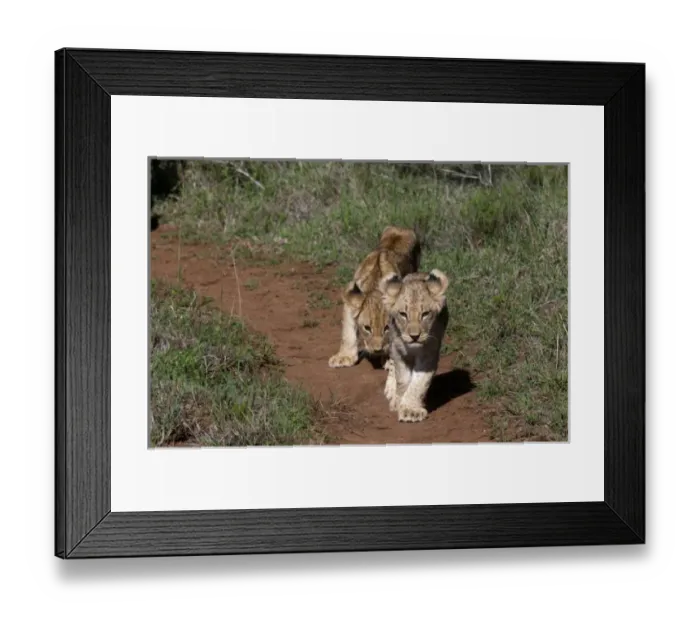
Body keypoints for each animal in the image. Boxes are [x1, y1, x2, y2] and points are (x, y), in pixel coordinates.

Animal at [328, 226, 421, 368]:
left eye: (387, 328)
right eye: (367, 328)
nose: (378, 350)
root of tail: (400, 229)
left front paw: (391, 361)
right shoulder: (350, 298)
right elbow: (348, 333)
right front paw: (344, 357)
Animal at [379, 269, 450, 423]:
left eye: (425, 314)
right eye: (403, 314)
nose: (414, 336)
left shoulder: (429, 354)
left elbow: (418, 383)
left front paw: (411, 410)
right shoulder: (399, 351)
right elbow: (403, 379)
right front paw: (398, 402)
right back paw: (391, 390)